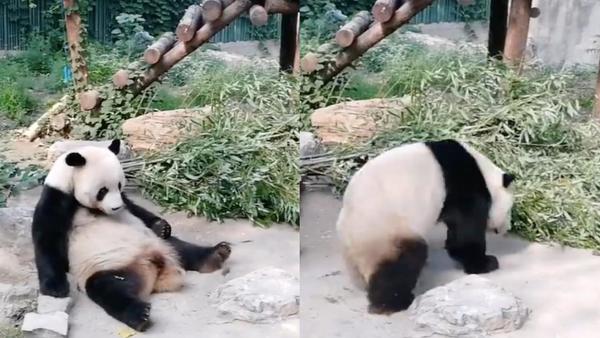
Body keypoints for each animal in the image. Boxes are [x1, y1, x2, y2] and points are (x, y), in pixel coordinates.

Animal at [30, 139, 233, 330]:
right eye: (102, 191)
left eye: (119, 185)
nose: (115, 208)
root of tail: (155, 267)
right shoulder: (56, 199)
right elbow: (47, 241)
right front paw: (55, 289)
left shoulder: (125, 202)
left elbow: (137, 209)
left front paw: (162, 226)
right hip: (110, 268)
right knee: (107, 288)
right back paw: (138, 315)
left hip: (158, 243)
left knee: (183, 247)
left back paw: (217, 253)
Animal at [338, 139, 516, 314]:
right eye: (509, 211)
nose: (506, 229)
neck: (483, 174)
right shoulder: (463, 187)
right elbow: (467, 232)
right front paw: (486, 263)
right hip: (387, 231)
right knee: (403, 263)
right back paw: (394, 303)